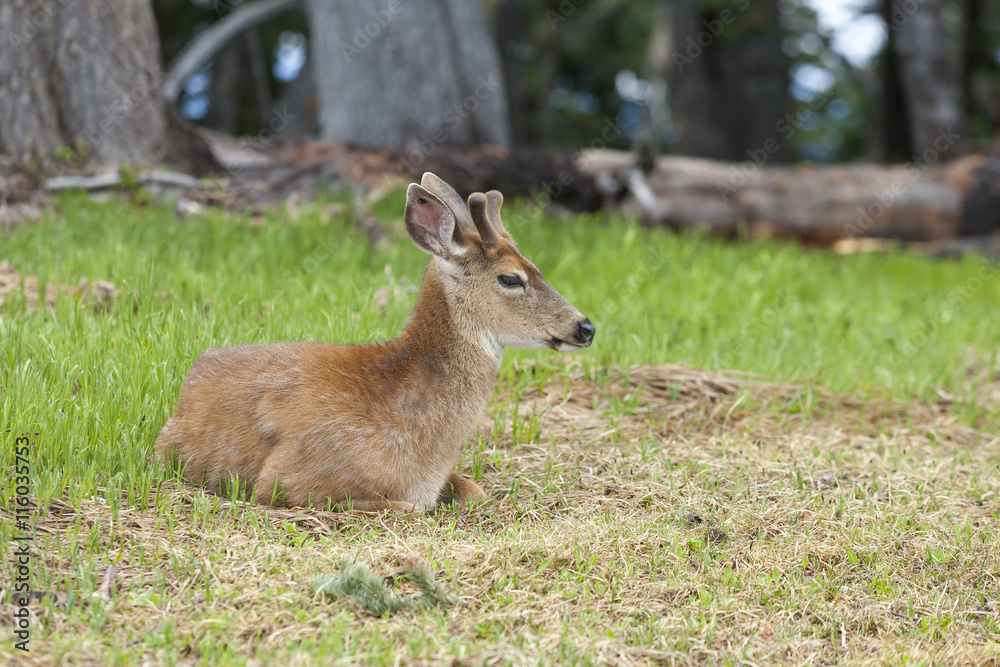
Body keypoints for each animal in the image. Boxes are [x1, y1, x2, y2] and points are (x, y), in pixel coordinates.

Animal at [155, 173, 595, 512]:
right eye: (510, 278)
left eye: (535, 267)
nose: (585, 327)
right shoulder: (287, 478)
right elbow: (407, 507)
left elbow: (475, 490)